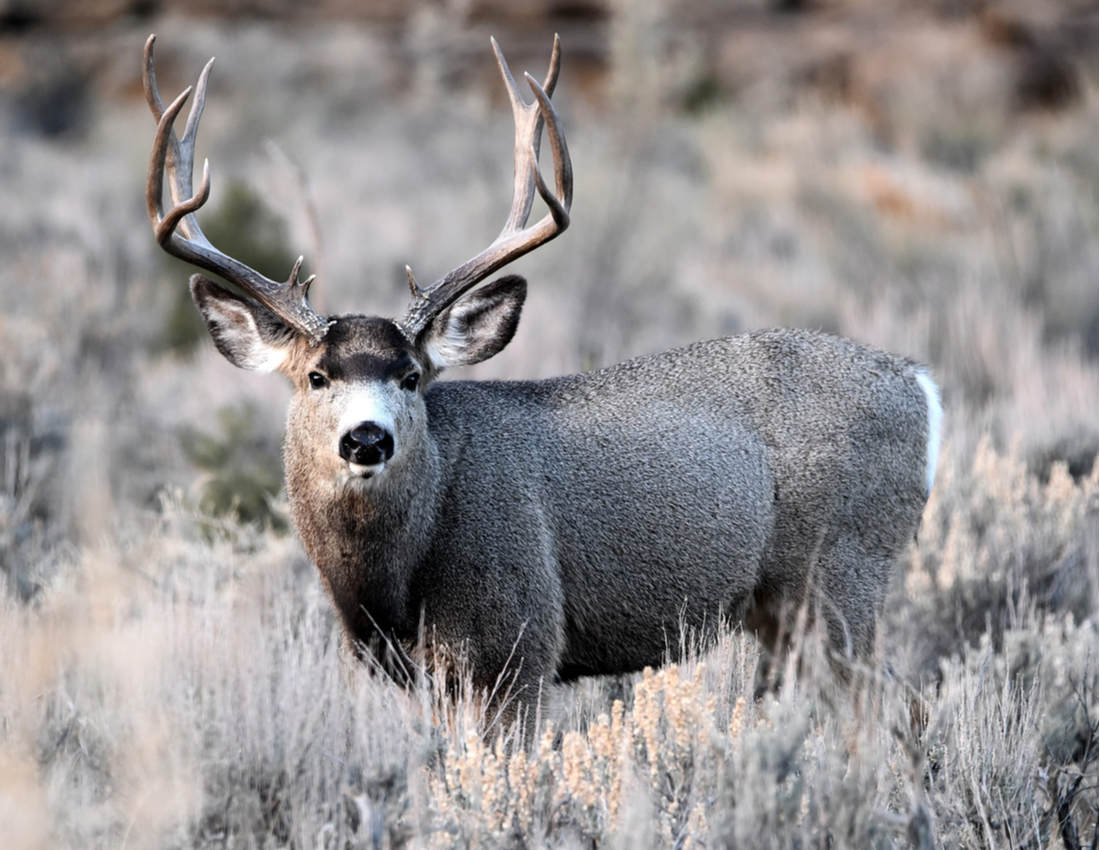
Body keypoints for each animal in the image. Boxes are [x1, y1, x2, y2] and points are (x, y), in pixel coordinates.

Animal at [141, 34, 941, 721]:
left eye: (410, 376)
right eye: (315, 375)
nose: (366, 439)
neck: (390, 581)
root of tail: (922, 386)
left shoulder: (517, 638)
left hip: (845, 569)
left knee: (889, 710)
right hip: (788, 607)